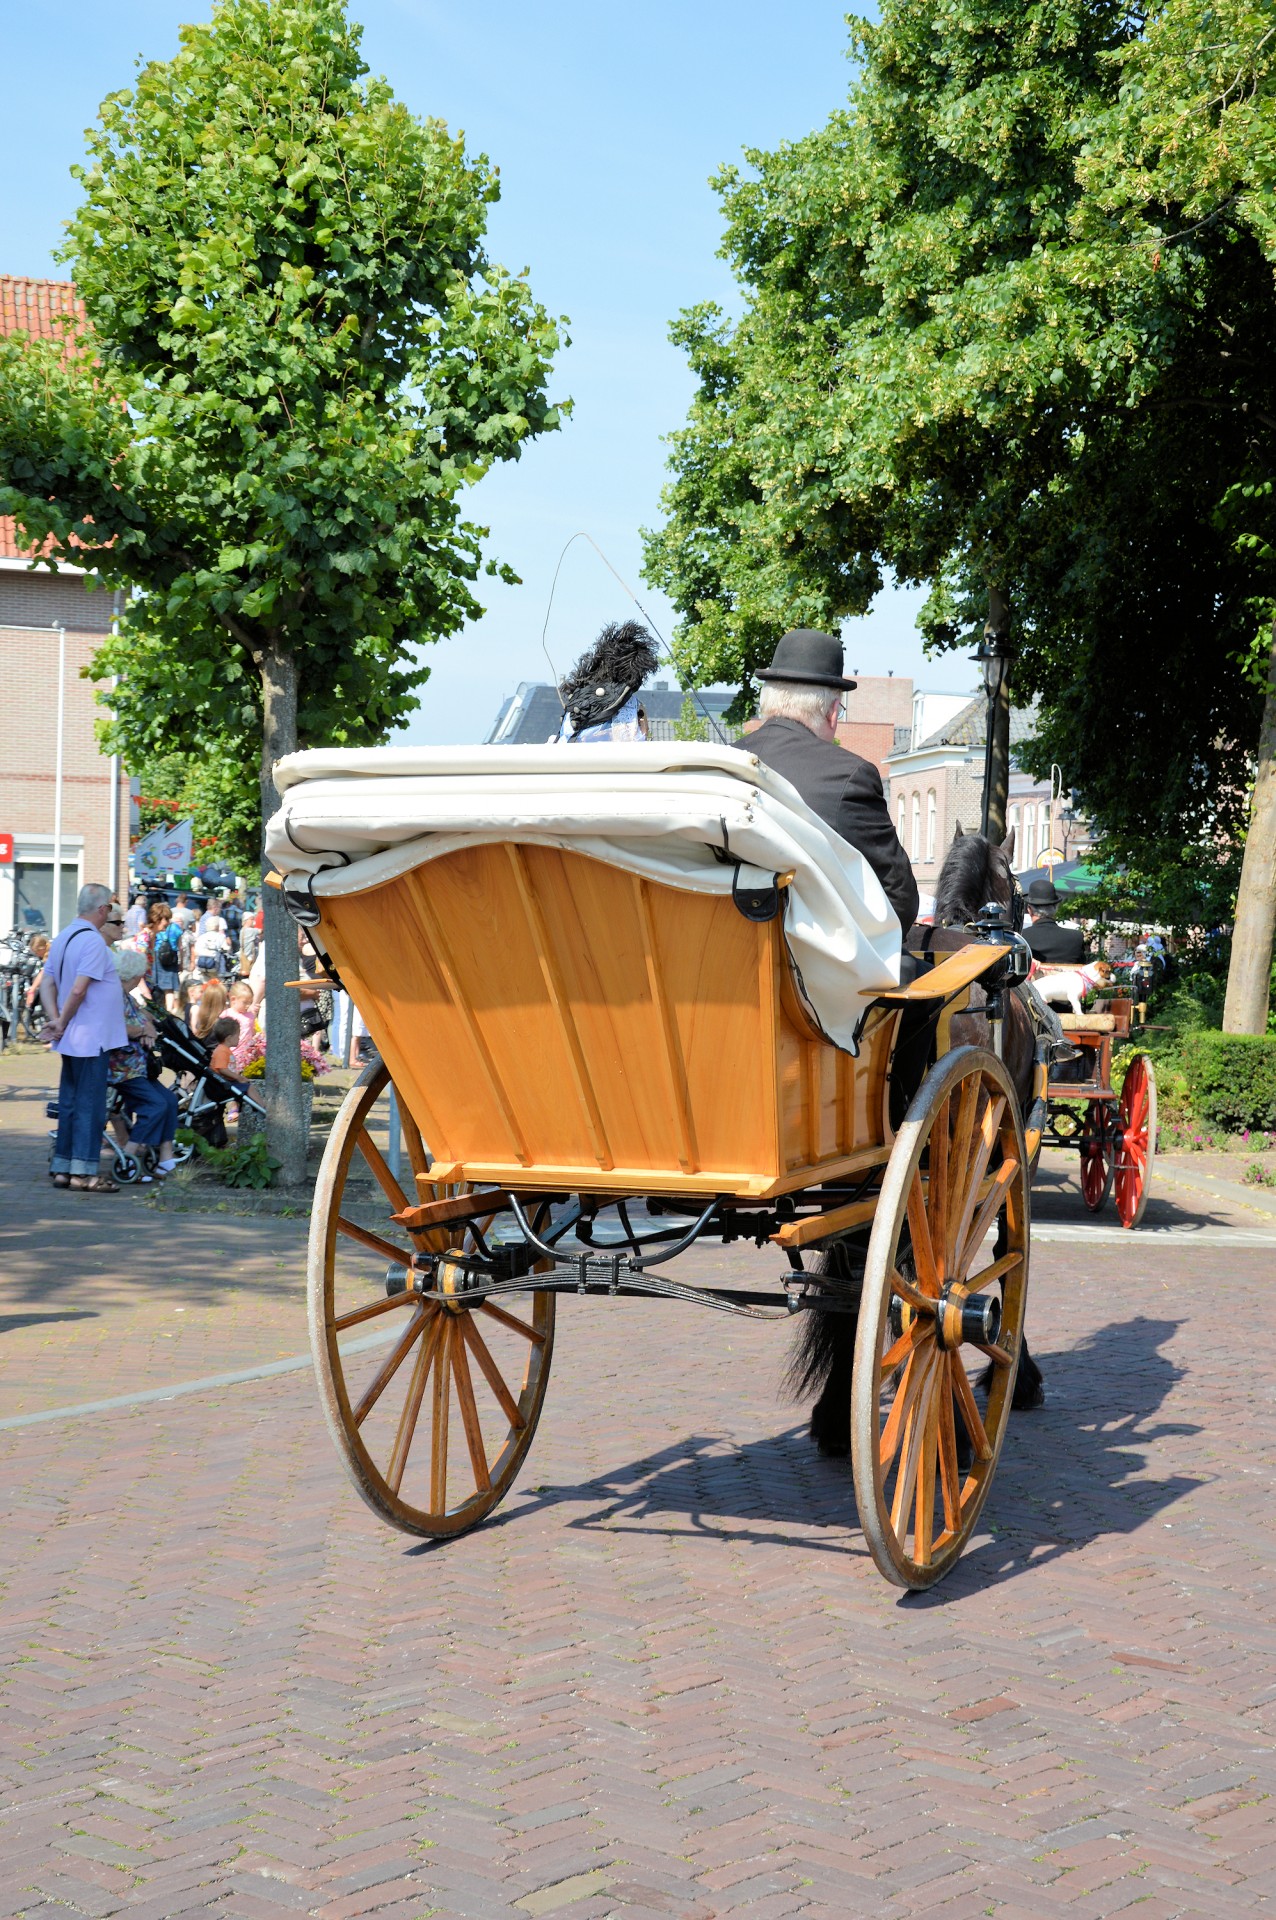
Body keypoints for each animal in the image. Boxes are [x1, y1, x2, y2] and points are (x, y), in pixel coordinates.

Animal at [798, 825, 1043, 1451]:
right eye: (1019, 890)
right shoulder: (1007, 1157)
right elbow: (1006, 1256)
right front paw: (1017, 1377)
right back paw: (952, 1421)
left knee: (857, 1274)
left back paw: (837, 1414)